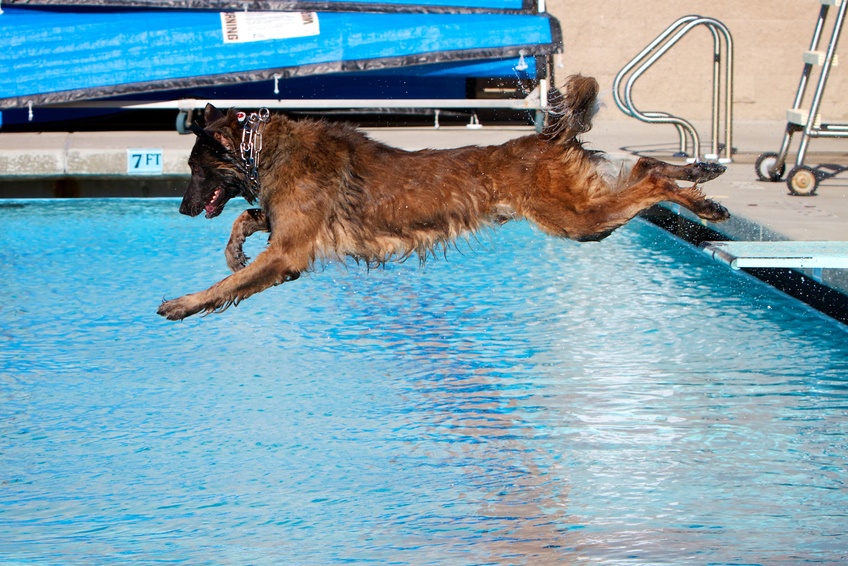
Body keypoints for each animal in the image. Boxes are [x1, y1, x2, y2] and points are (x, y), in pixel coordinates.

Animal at [157, 75, 728, 322]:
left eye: (194, 169)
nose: (182, 209)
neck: (263, 145)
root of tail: (546, 137)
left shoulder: (288, 253)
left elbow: (228, 283)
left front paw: (185, 303)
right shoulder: (288, 235)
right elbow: (248, 223)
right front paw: (233, 250)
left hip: (576, 219)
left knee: (649, 182)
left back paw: (704, 201)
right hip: (585, 213)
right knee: (644, 167)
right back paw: (701, 174)